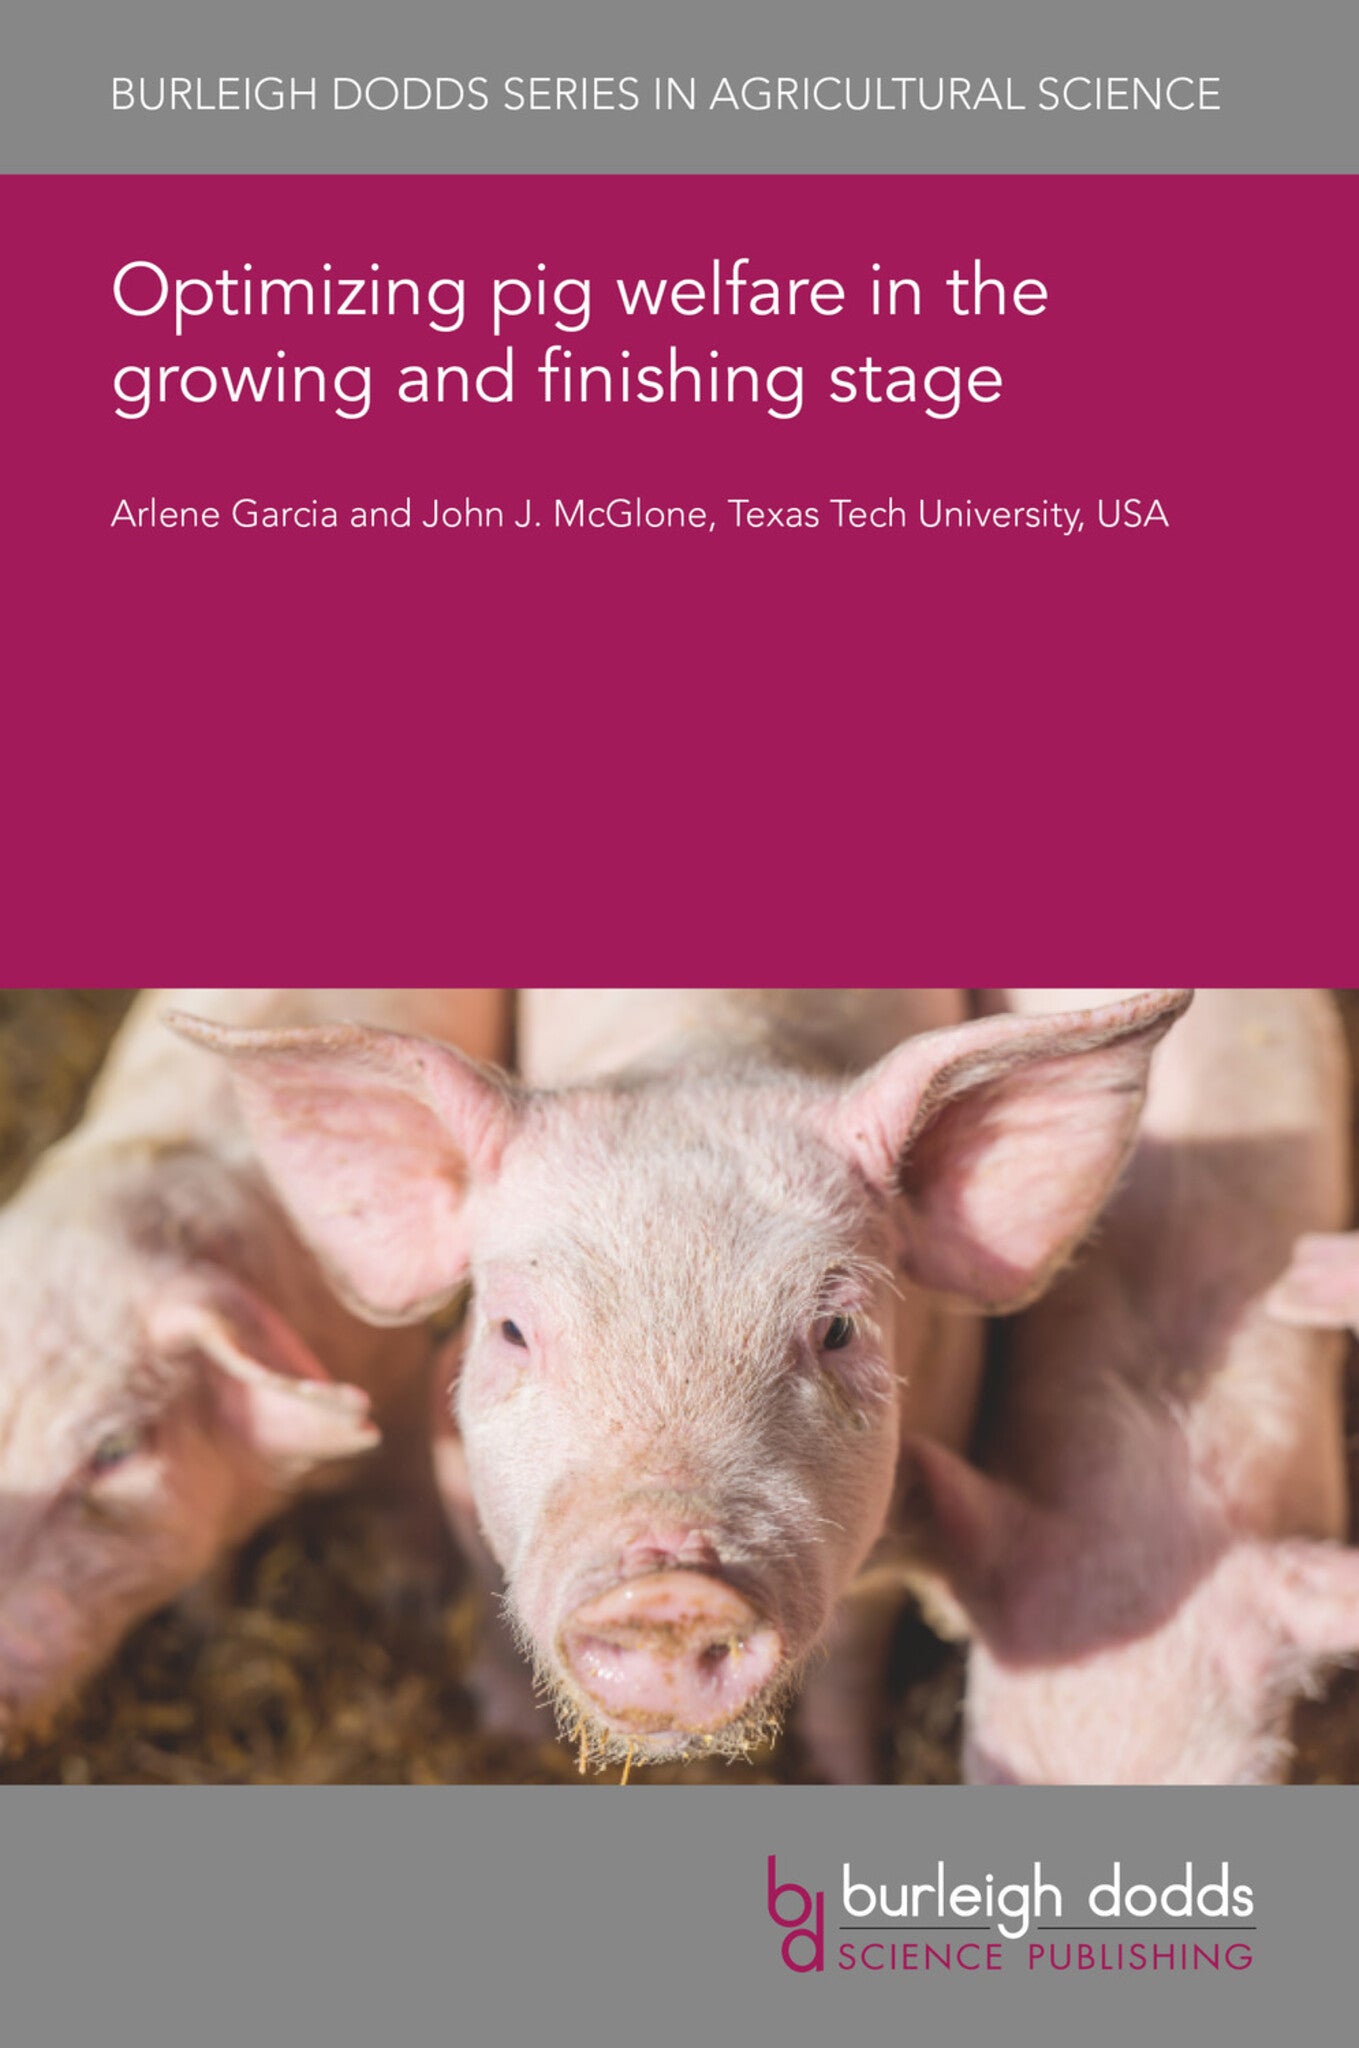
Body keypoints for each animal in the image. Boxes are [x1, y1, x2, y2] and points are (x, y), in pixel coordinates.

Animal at [171, 986, 1190, 1778]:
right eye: (510, 1330)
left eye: (836, 1330)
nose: (668, 1589)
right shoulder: (446, 1452)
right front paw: (506, 1734)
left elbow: (850, 1671)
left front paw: (845, 1773)